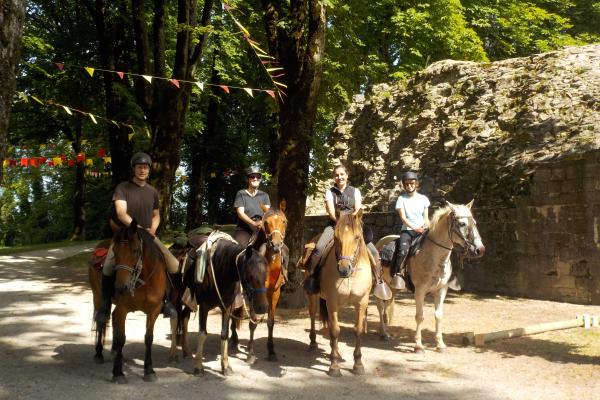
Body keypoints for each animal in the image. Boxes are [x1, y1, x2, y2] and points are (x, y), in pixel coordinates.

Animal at [95, 220, 169, 382]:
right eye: (115, 252)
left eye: (135, 251)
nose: (120, 287)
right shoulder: (122, 309)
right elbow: (121, 338)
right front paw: (118, 372)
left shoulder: (154, 310)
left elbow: (149, 338)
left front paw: (149, 370)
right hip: (97, 297)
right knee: (100, 322)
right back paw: (98, 354)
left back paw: (115, 352)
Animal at [185, 234, 270, 376]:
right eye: (250, 275)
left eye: (266, 275)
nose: (262, 307)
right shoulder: (204, 307)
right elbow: (202, 334)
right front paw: (198, 366)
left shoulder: (227, 307)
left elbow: (224, 334)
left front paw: (225, 366)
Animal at [229, 199, 290, 362]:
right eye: (266, 222)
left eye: (284, 221)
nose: (275, 245)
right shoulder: (252, 293)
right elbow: (252, 322)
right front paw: (250, 353)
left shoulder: (274, 293)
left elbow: (270, 322)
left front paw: (271, 351)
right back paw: (233, 341)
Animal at [308, 209, 372, 378]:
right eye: (336, 237)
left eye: (357, 237)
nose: (344, 269)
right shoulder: (332, 302)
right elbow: (336, 331)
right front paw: (334, 366)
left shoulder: (361, 303)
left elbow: (358, 330)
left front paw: (358, 364)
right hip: (314, 297)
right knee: (313, 315)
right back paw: (313, 343)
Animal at [376, 202, 488, 352]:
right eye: (462, 224)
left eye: (474, 222)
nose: (480, 249)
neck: (433, 256)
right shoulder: (420, 290)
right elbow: (419, 316)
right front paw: (418, 346)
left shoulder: (441, 290)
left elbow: (438, 316)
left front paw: (440, 344)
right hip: (380, 285)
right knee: (380, 306)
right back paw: (383, 333)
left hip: (392, 287)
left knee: (387, 305)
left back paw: (387, 332)